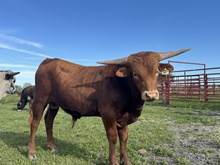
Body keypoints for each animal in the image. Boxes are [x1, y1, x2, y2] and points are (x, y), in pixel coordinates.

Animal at [27, 48, 189, 164]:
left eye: (156, 71)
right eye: (135, 74)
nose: (151, 95)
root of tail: (49, 60)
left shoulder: (124, 118)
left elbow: (124, 138)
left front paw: (126, 161)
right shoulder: (108, 114)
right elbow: (113, 137)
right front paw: (114, 161)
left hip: (54, 104)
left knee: (48, 121)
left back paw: (53, 147)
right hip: (40, 99)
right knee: (35, 122)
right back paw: (31, 152)